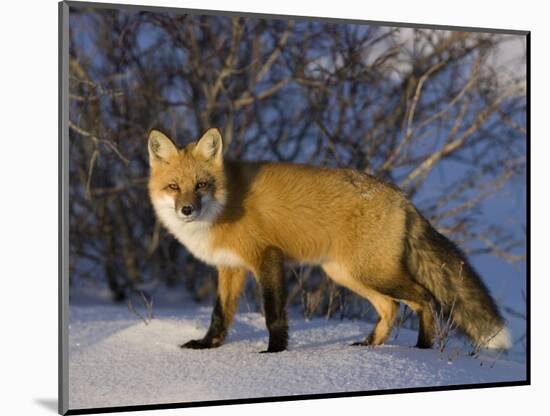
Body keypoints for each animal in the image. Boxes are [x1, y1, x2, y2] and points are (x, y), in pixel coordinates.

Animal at [148, 128, 512, 352]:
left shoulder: (267, 257)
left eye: (201, 185)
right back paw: (370, 347)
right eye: (174, 186)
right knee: (391, 307)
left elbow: (273, 314)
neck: (224, 206)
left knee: (424, 299)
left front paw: (273, 353)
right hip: (347, 274)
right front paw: (207, 346)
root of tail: (403, 197)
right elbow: (220, 315)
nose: (187, 210)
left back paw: (422, 349)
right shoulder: (230, 267)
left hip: (371, 273)